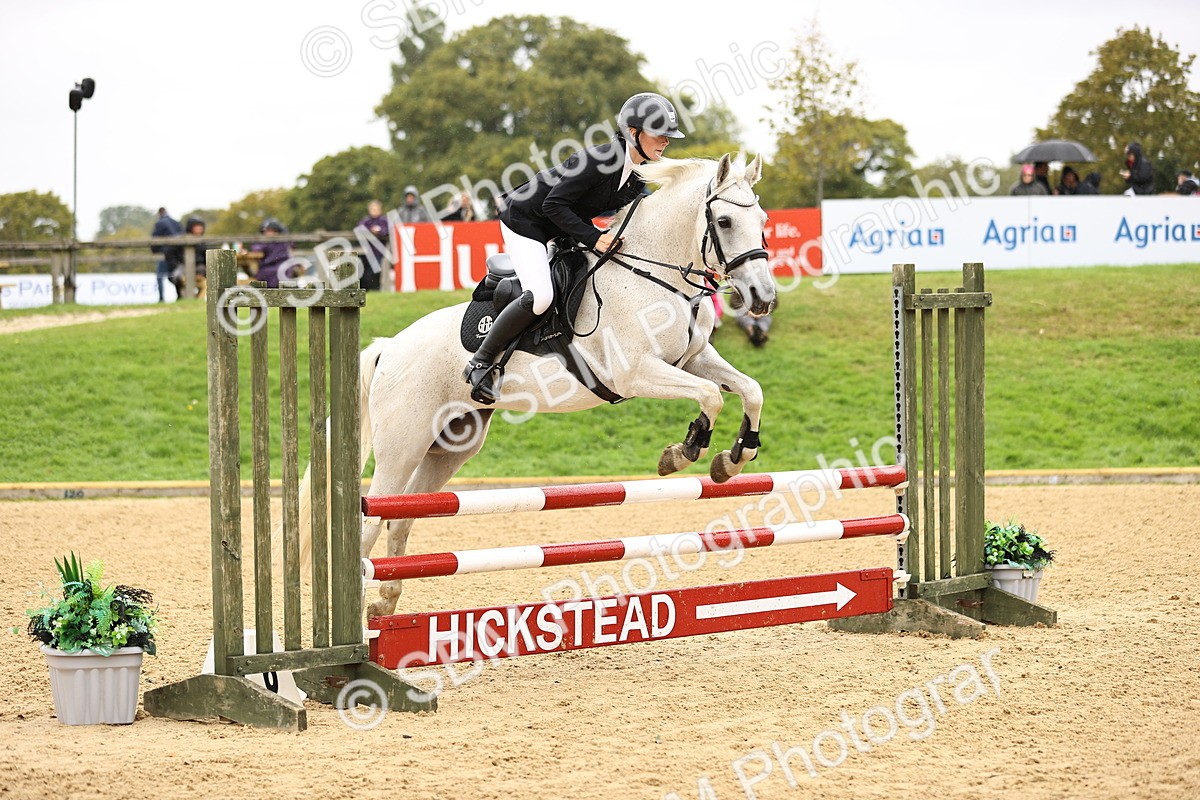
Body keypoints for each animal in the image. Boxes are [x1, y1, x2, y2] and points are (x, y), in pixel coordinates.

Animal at [295, 151, 778, 618]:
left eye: (763, 219)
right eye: (724, 222)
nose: (763, 299)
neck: (655, 277)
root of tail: (388, 347)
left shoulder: (695, 359)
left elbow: (750, 390)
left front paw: (734, 457)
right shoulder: (636, 372)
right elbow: (711, 397)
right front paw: (685, 450)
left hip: (449, 445)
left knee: (403, 516)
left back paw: (385, 602)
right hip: (403, 443)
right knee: (373, 518)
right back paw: (361, 613)